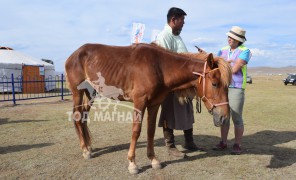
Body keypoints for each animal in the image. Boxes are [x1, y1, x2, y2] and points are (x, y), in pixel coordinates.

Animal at [64, 43, 231, 174]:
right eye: (215, 84)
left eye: (227, 85)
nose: (224, 117)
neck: (159, 67)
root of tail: (74, 55)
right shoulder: (140, 102)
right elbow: (136, 131)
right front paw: (132, 163)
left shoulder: (154, 104)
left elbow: (150, 131)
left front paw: (153, 160)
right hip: (78, 92)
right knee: (78, 118)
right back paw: (85, 150)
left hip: (90, 93)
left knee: (83, 118)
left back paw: (89, 147)